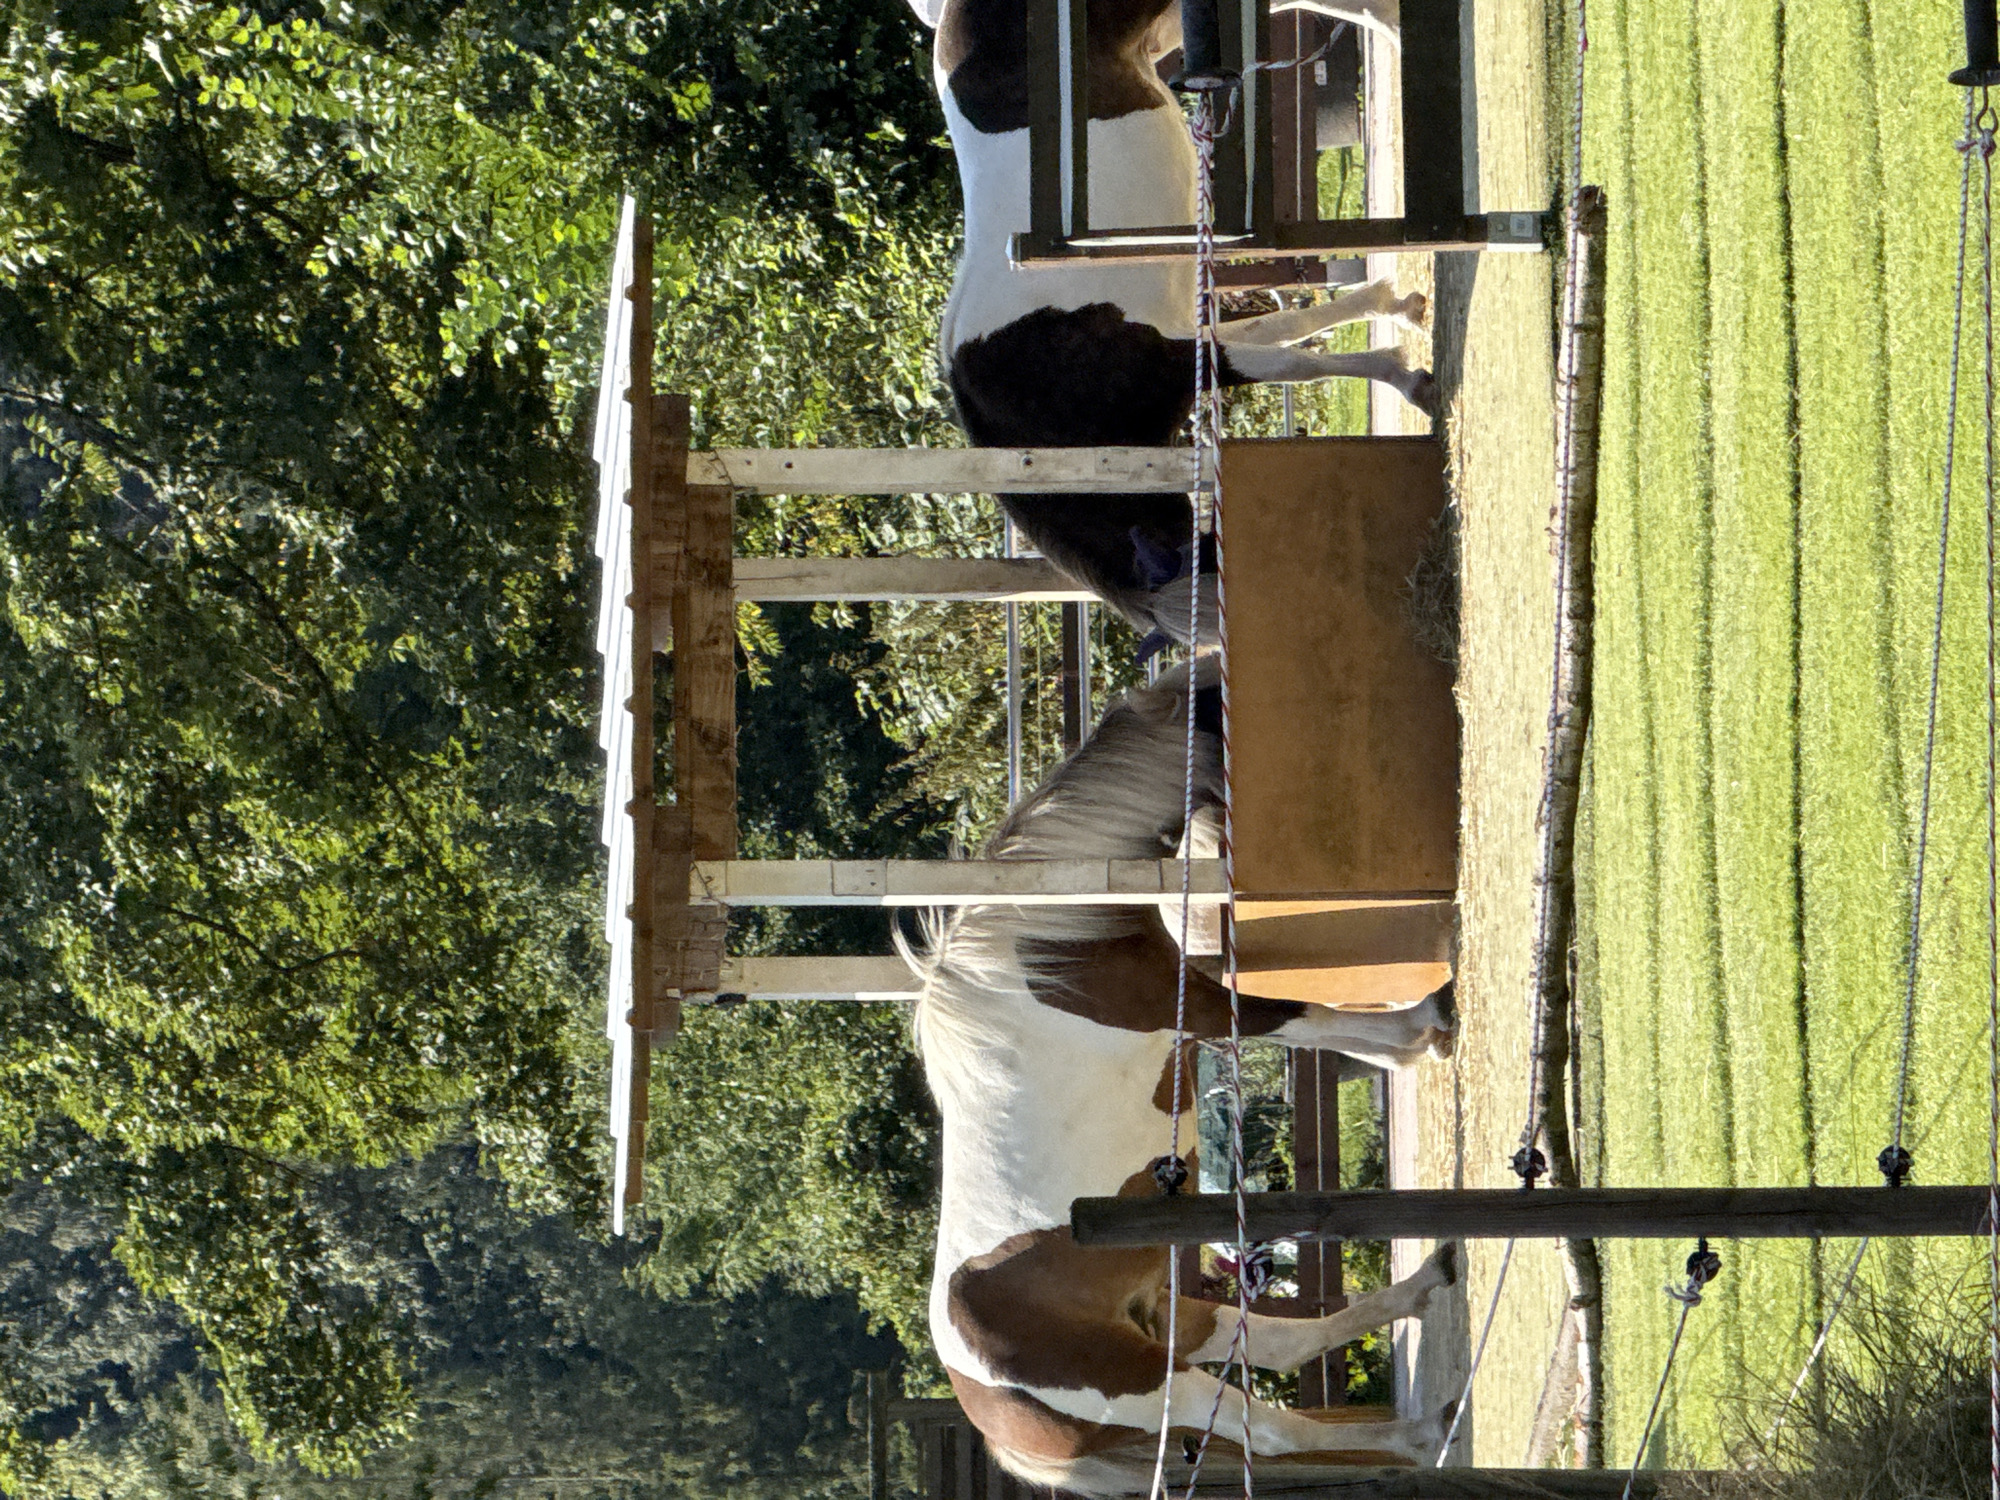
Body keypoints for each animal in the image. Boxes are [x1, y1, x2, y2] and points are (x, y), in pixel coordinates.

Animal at [899, 662, 1460, 1494]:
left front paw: (1412, 1039)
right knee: (1277, 1434)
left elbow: (1307, 1021)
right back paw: (1424, 1432)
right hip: (1159, 1385)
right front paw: (1426, 1024)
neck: (1038, 946)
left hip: (1172, 1319)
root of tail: (990, 1410)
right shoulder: (1194, 1003)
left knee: (1282, 1347)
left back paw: (1427, 1289)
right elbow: (1293, 1015)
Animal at [906, 0, 1425, 647]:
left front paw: (1404, 373)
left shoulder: (1178, 359)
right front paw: (1394, 310)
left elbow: (1291, 361)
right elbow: (1285, 338)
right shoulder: (1187, 337)